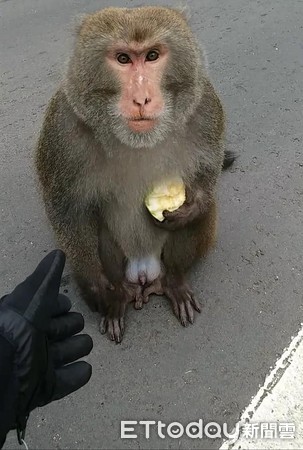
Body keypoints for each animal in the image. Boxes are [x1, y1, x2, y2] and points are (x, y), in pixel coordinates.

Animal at [35, 5, 235, 342]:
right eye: (123, 58)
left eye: (152, 55)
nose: (141, 99)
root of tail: (144, 274)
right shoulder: (62, 127)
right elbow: (67, 209)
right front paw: (95, 286)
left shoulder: (206, 106)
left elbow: (208, 168)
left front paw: (192, 205)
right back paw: (116, 298)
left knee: (206, 213)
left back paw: (175, 281)